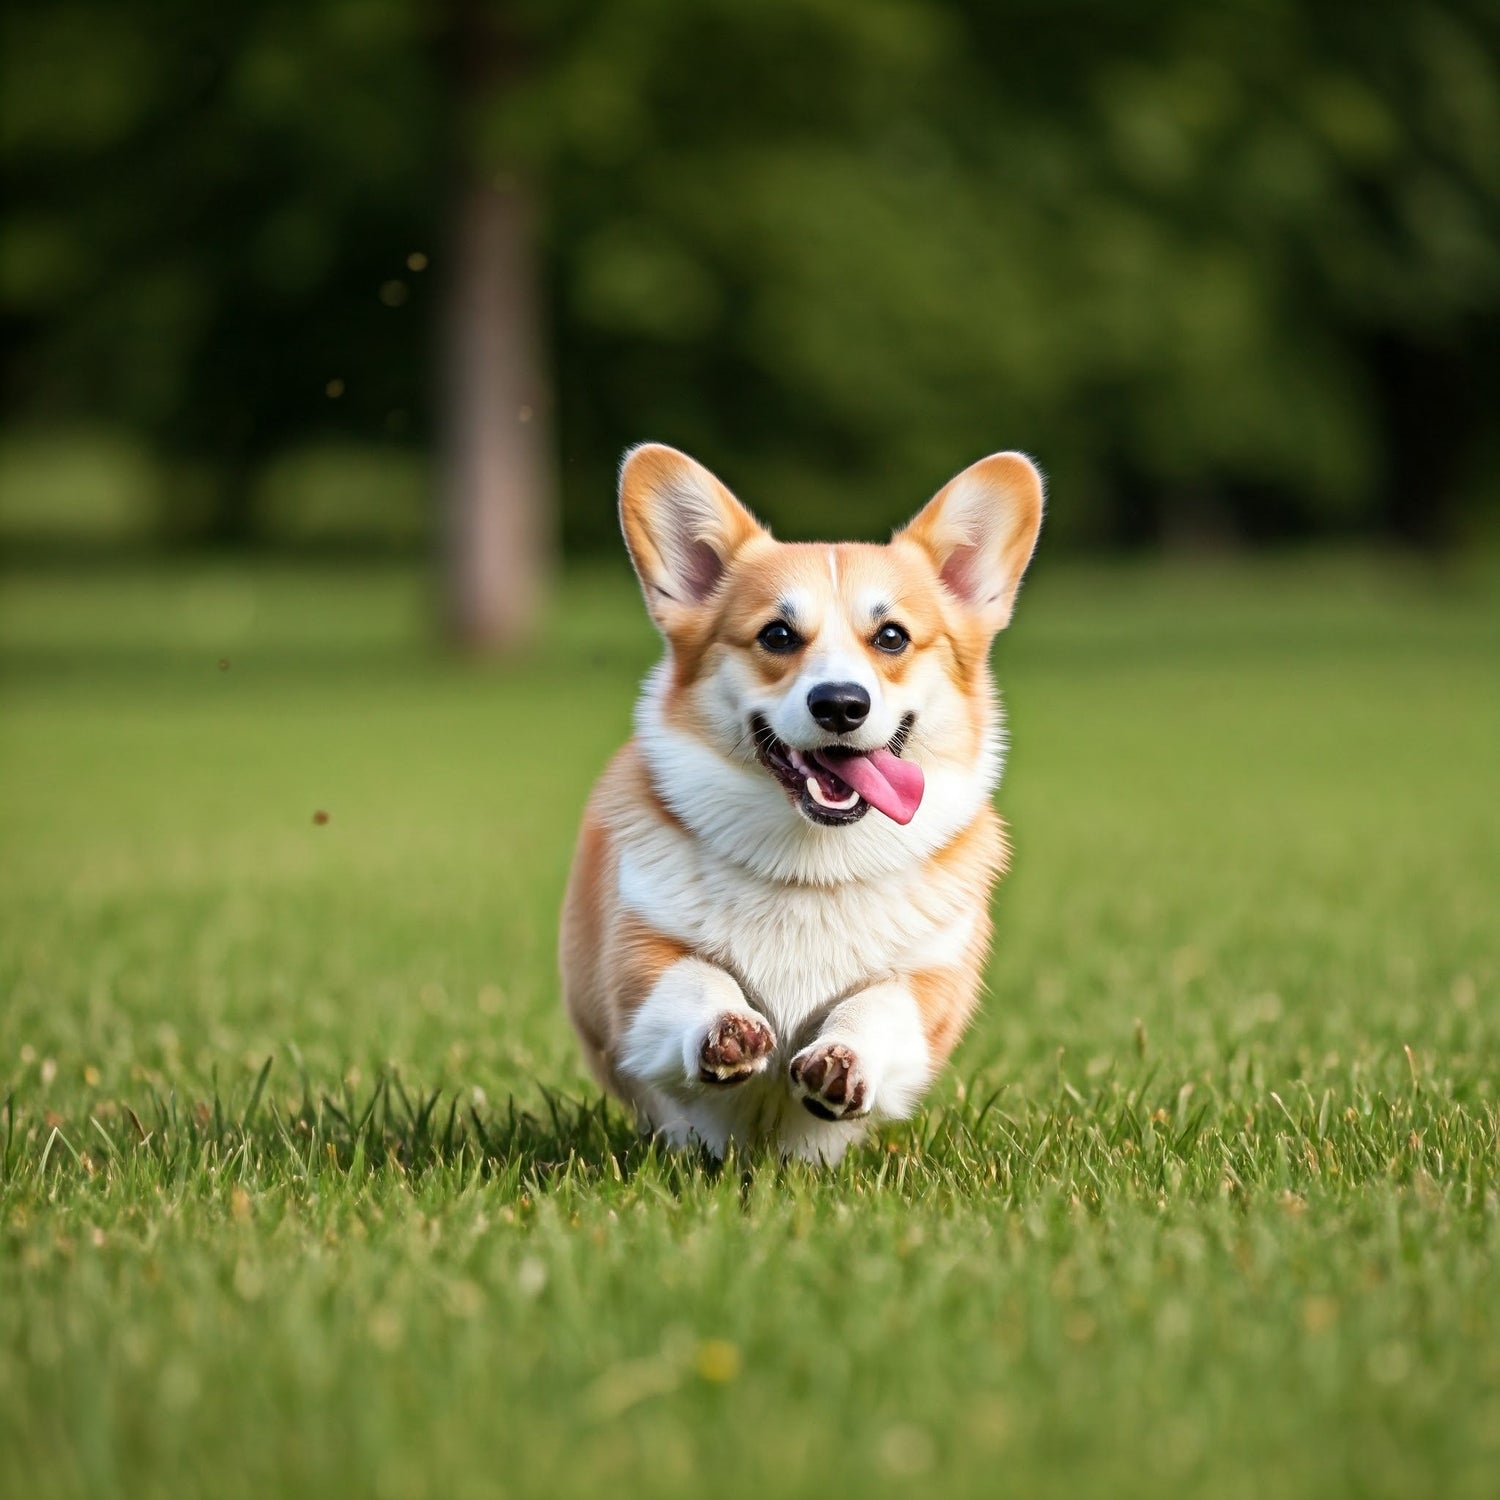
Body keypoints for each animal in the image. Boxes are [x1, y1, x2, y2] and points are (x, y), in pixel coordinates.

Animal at [564, 441, 1044, 1158]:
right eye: (777, 636)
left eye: (892, 637)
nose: (841, 704)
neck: (813, 865)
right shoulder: (638, 965)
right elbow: (694, 979)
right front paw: (726, 1029)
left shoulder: (929, 981)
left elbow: (877, 1005)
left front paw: (842, 1061)